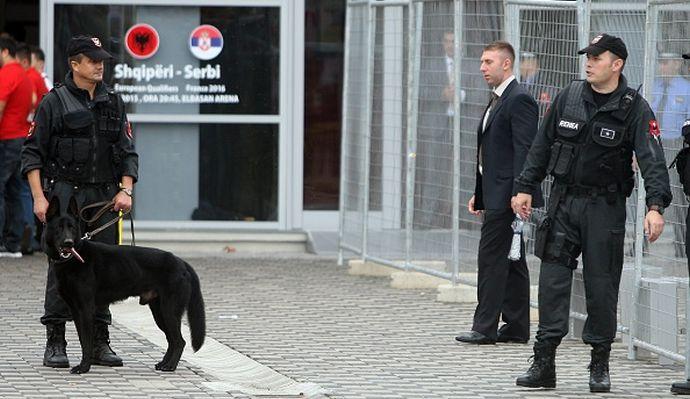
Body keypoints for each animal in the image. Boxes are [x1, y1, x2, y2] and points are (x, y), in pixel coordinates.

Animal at [42, 198, 203, 376]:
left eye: (72, 228)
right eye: (58, 228)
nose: (68, 243)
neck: (73, 260)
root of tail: (181, 262)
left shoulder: (85, 310)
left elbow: (86, 341)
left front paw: (84, 367)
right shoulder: (76, 311)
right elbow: (82, 340)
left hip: (169, 311)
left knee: (179, 341)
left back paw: (170, 366)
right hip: (160, 313)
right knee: (172, 340)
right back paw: (163, 363)